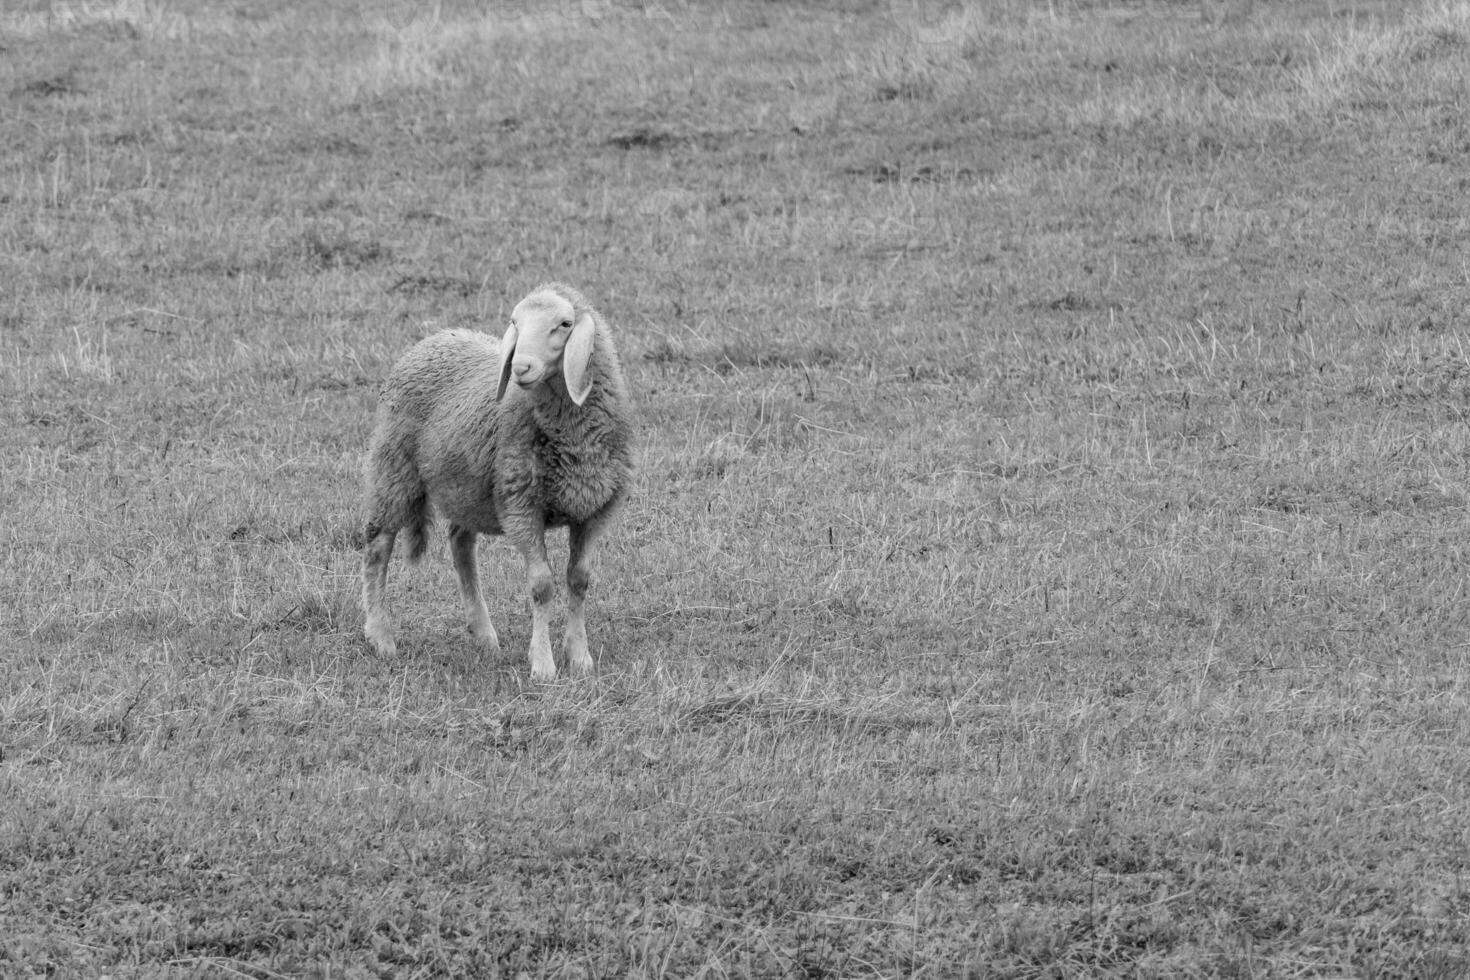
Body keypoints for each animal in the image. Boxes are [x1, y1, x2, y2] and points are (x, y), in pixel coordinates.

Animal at [360, 282, 632, 681]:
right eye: (515, 323)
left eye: (564, 324)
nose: (520, 366)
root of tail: (438, 336)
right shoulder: (521, 506)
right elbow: (542, 586)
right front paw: (543, 665)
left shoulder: (596, 509)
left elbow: (579, 579)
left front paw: (580, 657)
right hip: (393, 467)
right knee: (378, 546)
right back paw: (381, 636)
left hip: (466, 487)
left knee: (460, 545)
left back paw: (484, 634)